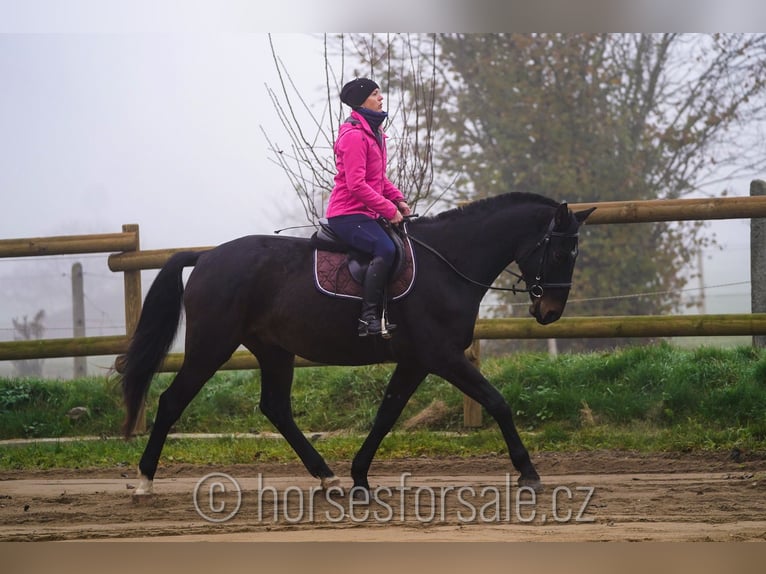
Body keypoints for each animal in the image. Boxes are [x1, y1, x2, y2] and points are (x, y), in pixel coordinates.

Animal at [123, 192, 596, 496]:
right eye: (560, 253)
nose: (550, 311)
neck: (448, 264)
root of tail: (206, 256)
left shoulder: (416, 361)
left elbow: (387, 414)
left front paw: (359, 475)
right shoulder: (442, 356)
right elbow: (497, 402)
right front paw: (528, 471)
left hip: (274, 350)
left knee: (276, 408)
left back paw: (327, 476)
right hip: (212, 346)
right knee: (171, 401)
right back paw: (144, 480)